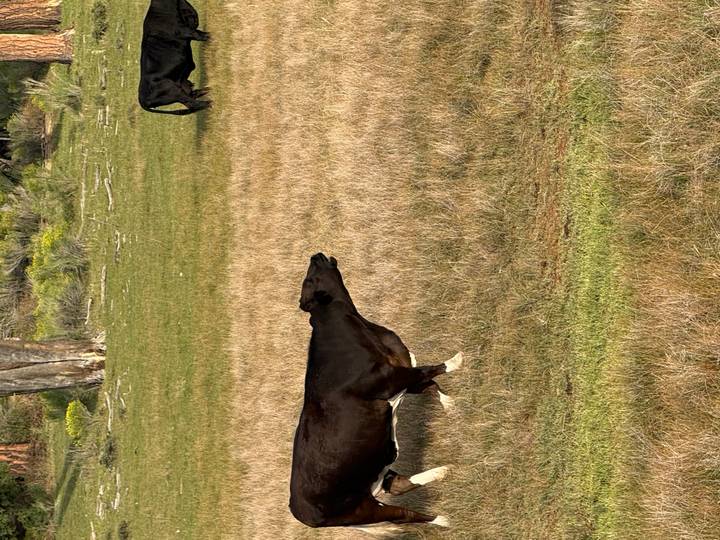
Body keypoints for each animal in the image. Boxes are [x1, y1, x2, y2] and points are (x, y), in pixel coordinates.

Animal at [290, 253, 463, 531]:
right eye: (310, 280)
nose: (314, 255)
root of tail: (300, 512)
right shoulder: (393, 378)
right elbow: (432, 371)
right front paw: (457, 360)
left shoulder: (403, 372)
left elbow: (431, 386)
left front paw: (453, 406)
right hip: (362, 510)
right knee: (405, 514)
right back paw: (444, 519)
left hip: (375, 474)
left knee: (400, 485)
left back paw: (442, 471)